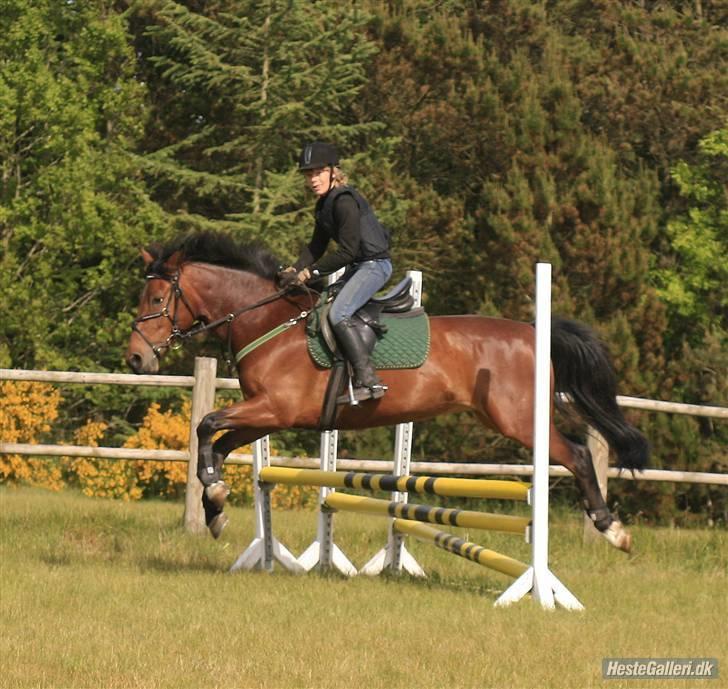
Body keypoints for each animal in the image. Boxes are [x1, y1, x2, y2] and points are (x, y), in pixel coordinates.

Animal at [125, 231, 648, 552]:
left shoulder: (273, 408)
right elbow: (216, 442)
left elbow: (206, 424)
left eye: (156, 299)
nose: (135, 360)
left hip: (520, 420)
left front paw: (212, 495)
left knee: (577, 454)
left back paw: (614, 530)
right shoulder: (269, 415)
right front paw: (214, 507)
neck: (269, 320)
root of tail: (534, 332)